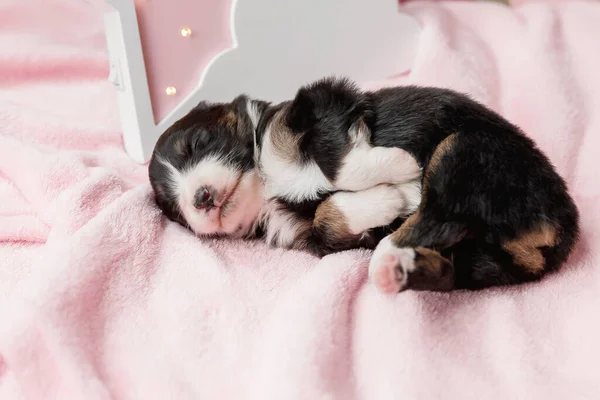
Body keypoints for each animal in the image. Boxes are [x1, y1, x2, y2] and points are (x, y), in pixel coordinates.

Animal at [148, 76, 580, 292]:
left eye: (196, 144)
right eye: (173, 207)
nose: (200, 198)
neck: (266, 186)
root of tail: (563, 230)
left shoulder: (317, 109)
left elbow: (338, 165)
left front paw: (400, 169)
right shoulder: (307, 236)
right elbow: (325, 217)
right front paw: (387, 198)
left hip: (465, 147)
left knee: (441, 213)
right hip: (486, 259)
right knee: (445, 251)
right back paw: (393, 264)